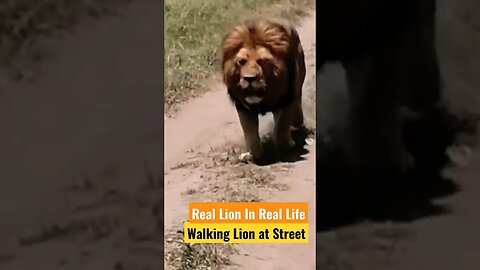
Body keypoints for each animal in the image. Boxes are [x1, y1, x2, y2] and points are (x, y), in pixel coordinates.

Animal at [220, 18, 306, 162]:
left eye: (262, 61)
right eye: (241, 61)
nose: (249, 78)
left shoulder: (286, 99)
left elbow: (282, 123)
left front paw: (284, 144)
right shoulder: (244, 108)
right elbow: (249, 132)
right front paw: (254, 154)